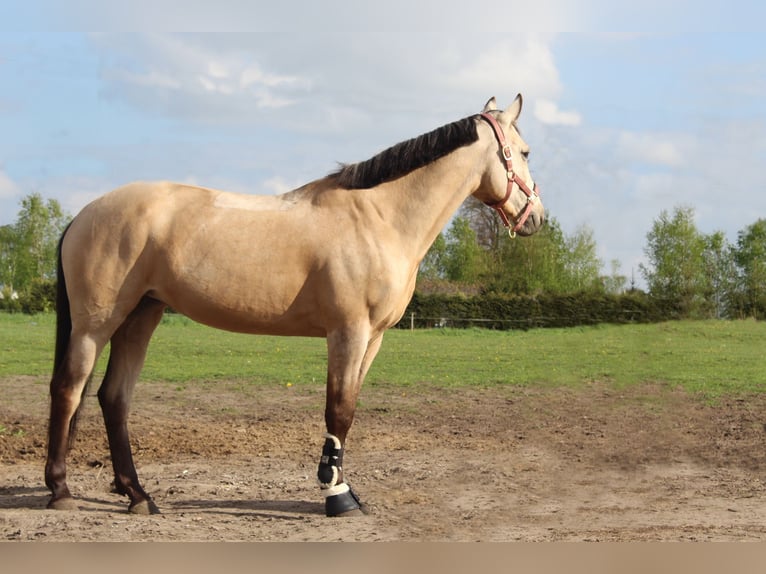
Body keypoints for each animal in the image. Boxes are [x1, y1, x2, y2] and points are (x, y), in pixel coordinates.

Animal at [44, 95, 544, 517]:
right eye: (524, 152)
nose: (536, 218)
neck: (378, 218)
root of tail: (83, 214)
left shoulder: (373, 339)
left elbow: (349, 409)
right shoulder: (348, 332)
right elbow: (338, 410)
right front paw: (337, 495)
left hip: (141, 316)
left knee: (114, 397)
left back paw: (138, 495)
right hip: (96, 324)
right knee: (69, 389)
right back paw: (61, 490)